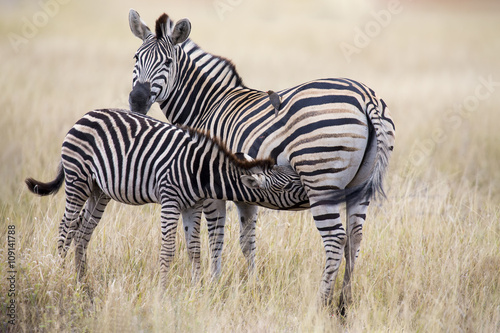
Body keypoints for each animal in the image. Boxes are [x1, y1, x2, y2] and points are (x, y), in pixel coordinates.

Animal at [27, 109, 310, 286]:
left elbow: (194, 249)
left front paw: (197, 289)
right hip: (78, 181)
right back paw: (60, 274)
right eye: (289, 185)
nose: (311, 193)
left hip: (99, 190)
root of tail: (85, 115)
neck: (201, 171)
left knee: (83, 230)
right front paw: (163, 292)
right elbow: (168, 250)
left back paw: (81, 279)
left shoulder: (192, 206)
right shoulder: (170, 200)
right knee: (66, 227)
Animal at [128, 11, 394, 312]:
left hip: (320, 180)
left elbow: (216, 237)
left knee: (336, 239)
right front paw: (252, 286)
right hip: (359, 186)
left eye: (168, 63)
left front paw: (212, 286)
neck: (206, 106)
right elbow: (247, 241)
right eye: (136, 58)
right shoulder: (245, 190)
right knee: (354, 238)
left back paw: (321, 303)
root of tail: (366, 97)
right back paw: (344, 303)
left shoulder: (211, 186)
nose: (136, 101)